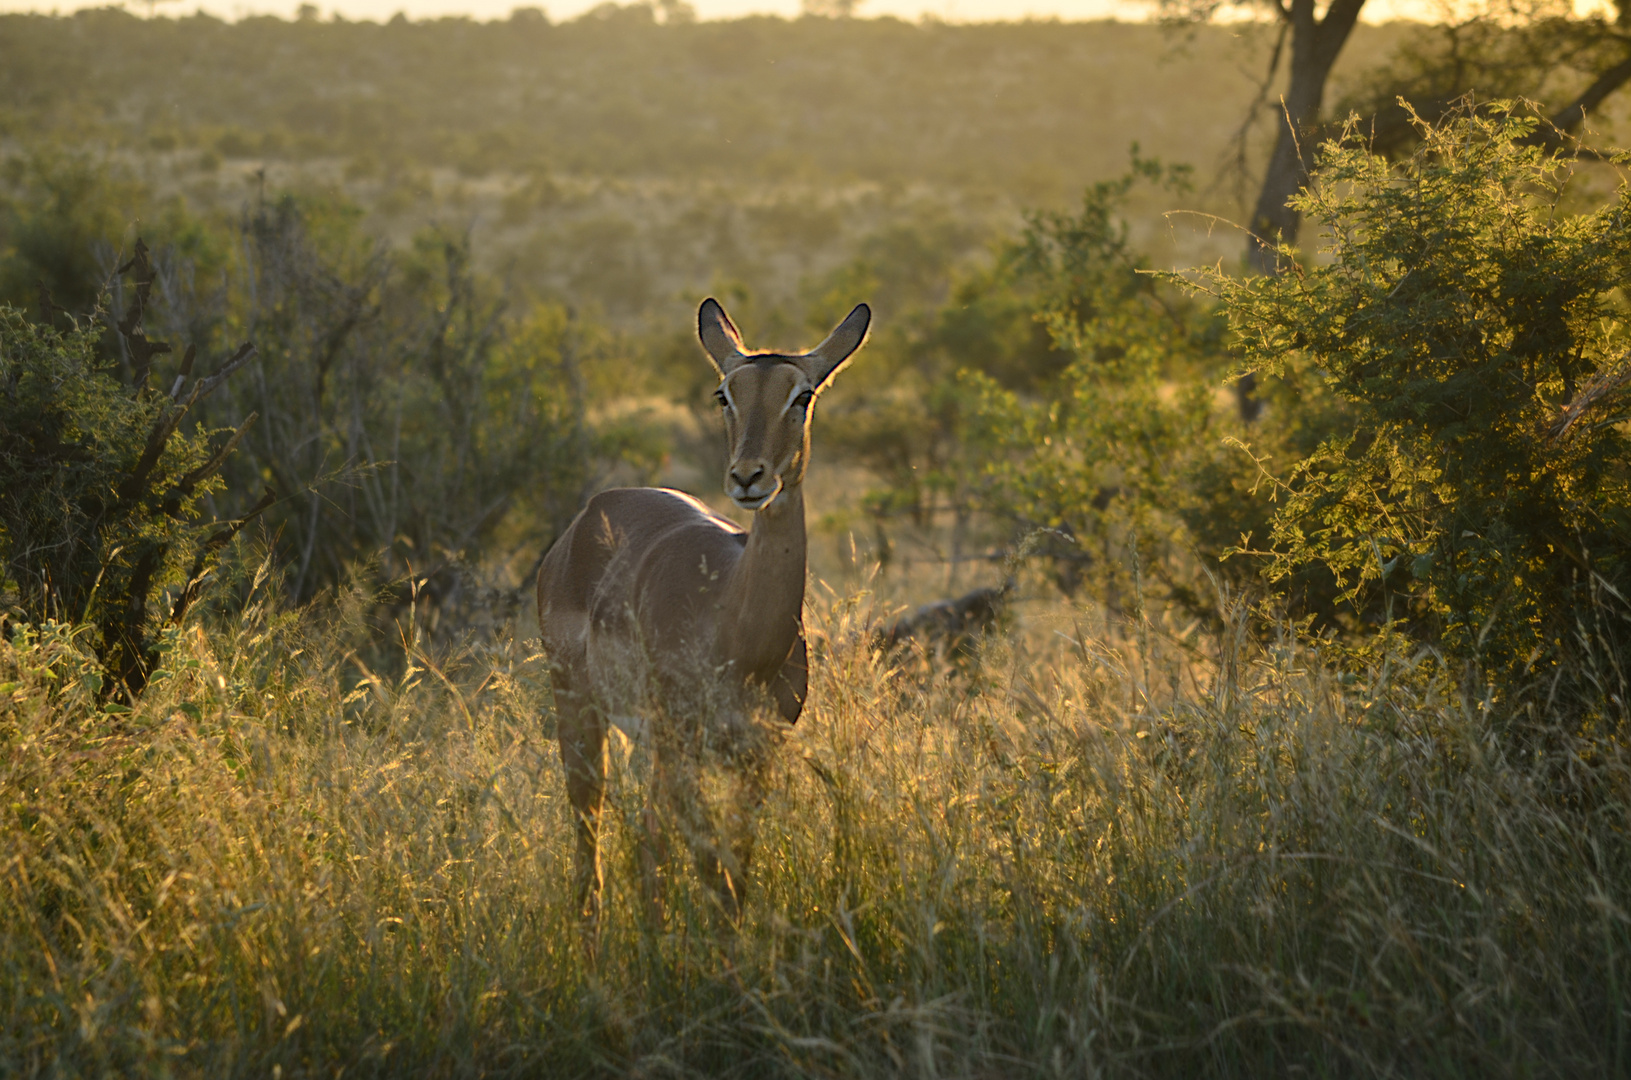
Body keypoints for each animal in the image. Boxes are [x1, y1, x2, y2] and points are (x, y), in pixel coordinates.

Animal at [538, 296, 874, 933]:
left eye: (803, 395)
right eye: (725, 393)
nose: (749, 477)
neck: (737, 636)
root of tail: (585, 519)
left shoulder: (756, 760)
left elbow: (735, 882)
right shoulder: (685, 748)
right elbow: (713, 878)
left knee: (648, 839)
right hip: (585, 715)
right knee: (591, 850)